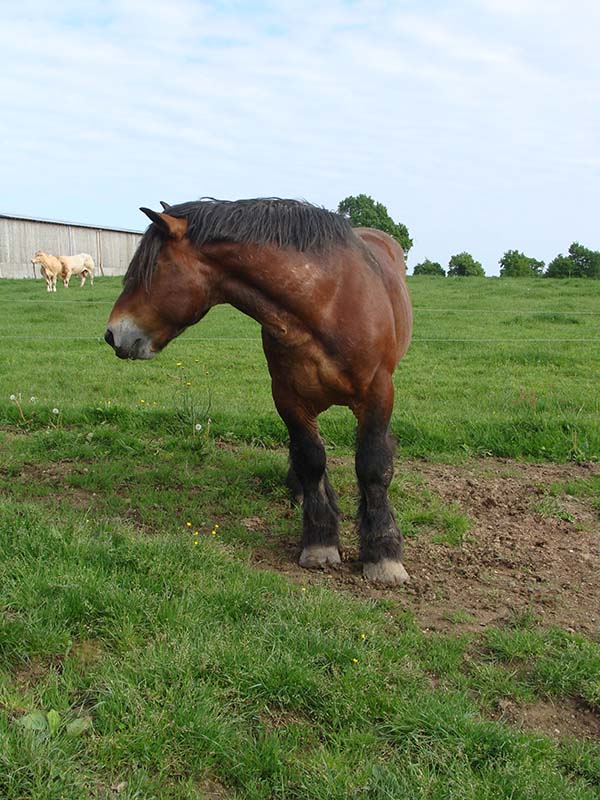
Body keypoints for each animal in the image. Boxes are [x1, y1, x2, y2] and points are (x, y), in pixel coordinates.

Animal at [104, 198, 412, 588]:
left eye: (151, 268)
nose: (112, 334)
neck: (328, 301)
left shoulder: (377, 395)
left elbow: (373, 466)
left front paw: (384, 553)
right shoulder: (289, 398)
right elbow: (311, 458)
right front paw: (320, 540)